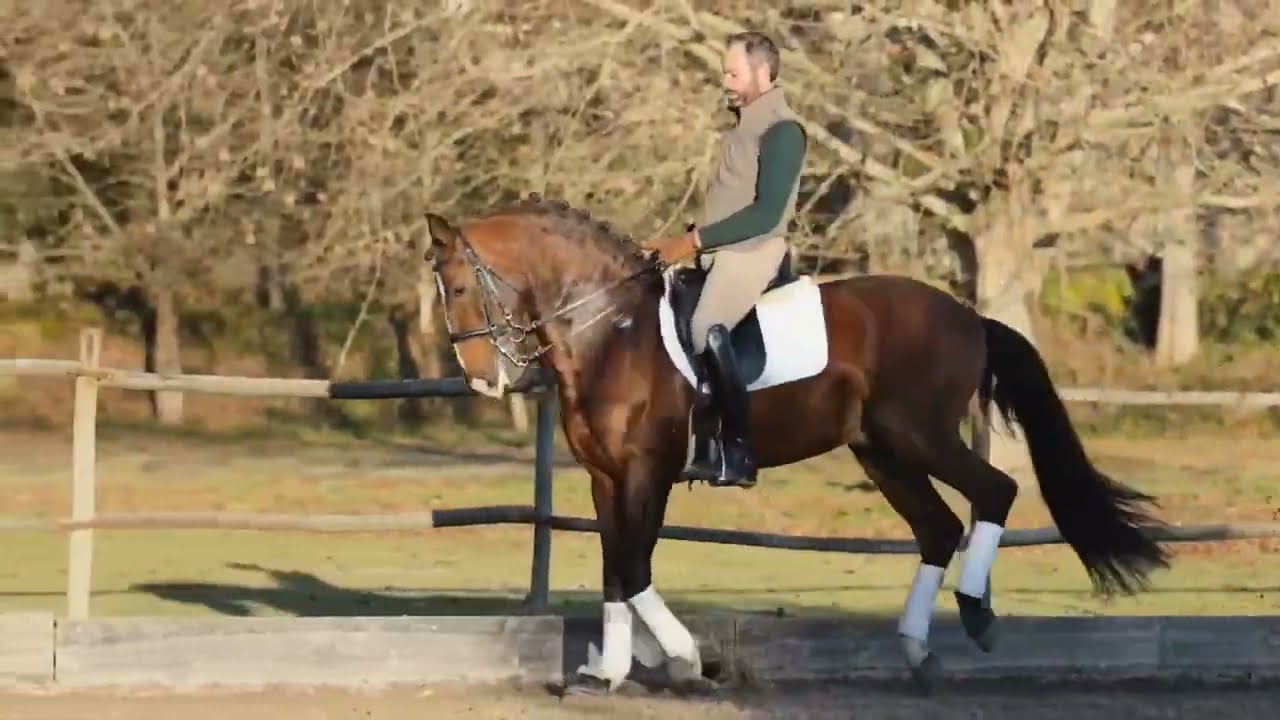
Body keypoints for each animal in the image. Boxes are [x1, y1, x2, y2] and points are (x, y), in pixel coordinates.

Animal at [420, 194, 1171, 695]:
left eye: (457, 286)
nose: (482, 379)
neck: (612, 332)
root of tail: (968, 315)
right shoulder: (605, 476)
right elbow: (614, 566)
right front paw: (607, 671)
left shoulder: (645, 471)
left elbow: (634, 566)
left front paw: (684, 660)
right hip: (882, 451)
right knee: (937, 528)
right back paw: (916, 648)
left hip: (920, 435)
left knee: (996, 490)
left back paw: (976, 615)